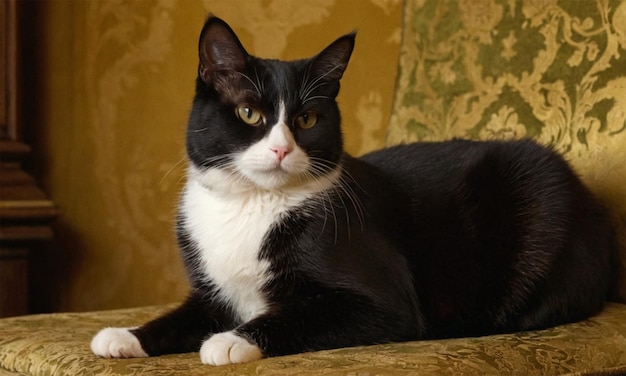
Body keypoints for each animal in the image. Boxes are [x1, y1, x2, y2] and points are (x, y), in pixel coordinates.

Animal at [90, 16, 616, 366]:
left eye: (307, 120)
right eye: (248, 113)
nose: (281, 148)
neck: (252, 204)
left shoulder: (381, 301)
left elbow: (303, 314)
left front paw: (233, 340)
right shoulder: (214, 290)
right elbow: (182, 315)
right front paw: (125, 336)